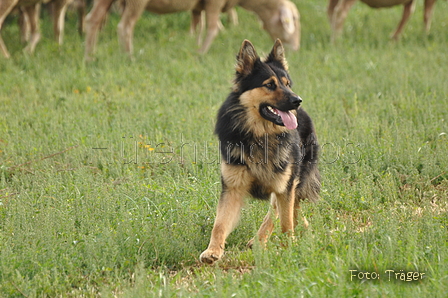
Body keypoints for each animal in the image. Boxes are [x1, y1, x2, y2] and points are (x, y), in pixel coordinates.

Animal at [200, 38, 318, 264]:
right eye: (269, 84)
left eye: (287, 84)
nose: (297, 100)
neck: (260, 135)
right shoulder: (232, 188)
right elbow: (219, 224)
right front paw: (213, 251)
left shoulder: (284, 186)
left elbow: (285, 221)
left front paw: (289, 248)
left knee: (282, 210)